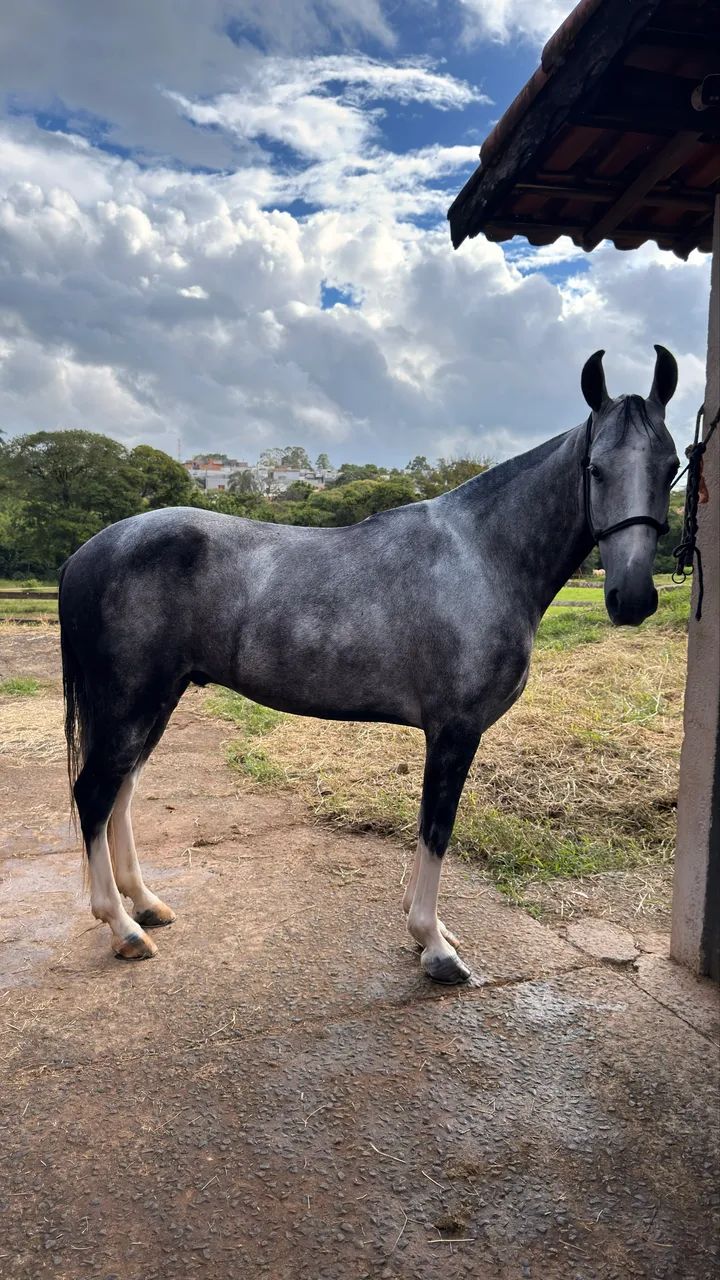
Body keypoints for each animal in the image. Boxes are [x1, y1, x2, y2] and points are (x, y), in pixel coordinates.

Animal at [59, 345, 679, 983]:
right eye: (595, 469)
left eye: (672, 466)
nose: (632, 598)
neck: (482, 556)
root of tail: (84, 555)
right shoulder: (454, 731)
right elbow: (436, 827)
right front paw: (434, 945)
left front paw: (432, 930)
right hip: (130, 703)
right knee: (94, 794)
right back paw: (123, 928)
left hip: (157, 700)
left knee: (121, 792)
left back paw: (146, 905)